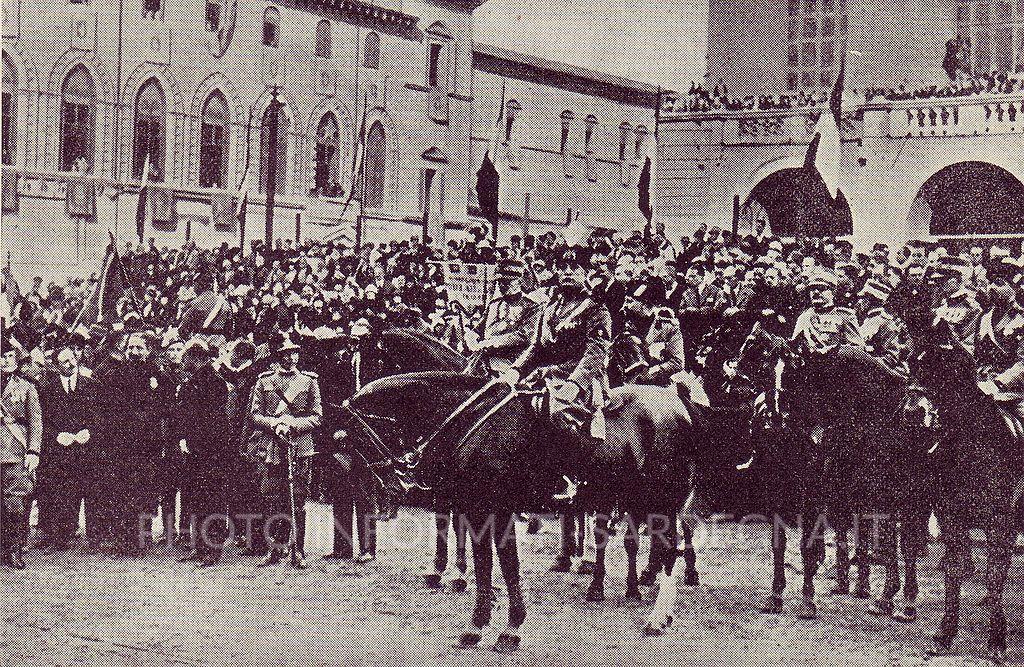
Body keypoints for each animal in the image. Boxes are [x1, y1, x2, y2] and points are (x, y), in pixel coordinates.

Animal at [339, 372, 700, 655]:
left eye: (353, 437)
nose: (393, 487)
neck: (476, 424)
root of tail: (678, 404)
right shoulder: (478, 510)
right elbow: (489, 564)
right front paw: (481, 626)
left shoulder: (495, 511)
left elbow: (504, 564)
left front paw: (506, 629)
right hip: (640, 500)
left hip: (662, 501)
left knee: (670, 549)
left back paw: (656, 617)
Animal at [733, 323, 925, 622]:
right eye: (765, 369)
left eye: (793, 372)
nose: (775, 418)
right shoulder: (776, 488)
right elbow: (779, 542)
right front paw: (775, 596)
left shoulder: (813, 492)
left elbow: (808, 545)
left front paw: (807, 601)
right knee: (881, 536)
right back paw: (878, 594)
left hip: (900, 494)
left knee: (904, 540)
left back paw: (904, 602)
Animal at [905, 323, 1024, 663]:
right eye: (911, 362)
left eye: (945, 366)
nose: (912, 411)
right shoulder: (952, 519)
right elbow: (954, 572)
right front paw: (945, 635)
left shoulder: (1000, 523)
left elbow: (995, 576)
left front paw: (997, 642)